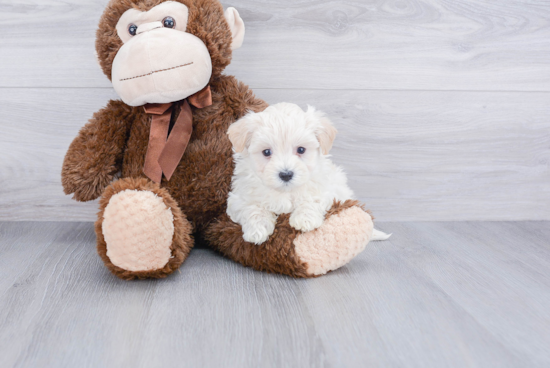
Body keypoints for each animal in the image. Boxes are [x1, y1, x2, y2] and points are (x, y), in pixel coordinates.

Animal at [226, 102, 390, 244]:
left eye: (301, 149)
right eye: (266, 152)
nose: (286, 174)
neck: (285, 192)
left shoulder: (327, 190)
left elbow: (312, 199)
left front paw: (304, 219)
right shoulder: (238, 198)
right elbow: (252, 208)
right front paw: (257, 230)